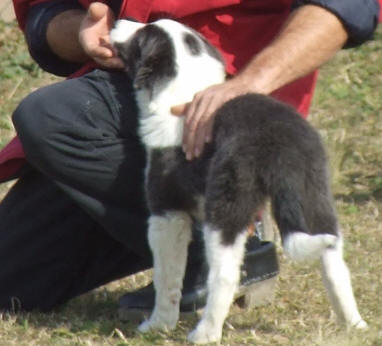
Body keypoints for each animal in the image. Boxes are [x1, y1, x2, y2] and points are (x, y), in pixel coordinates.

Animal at [109, 19, 364, 346]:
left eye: (141, 36)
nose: (116, 21)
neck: (186, 87)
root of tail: (279, 144)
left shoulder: (166, 213)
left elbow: (166, 276)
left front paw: (157, 325)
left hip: (227, 207)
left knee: (225, 276)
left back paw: (205, 333)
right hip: (313, 194)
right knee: (334, 261)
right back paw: (354, 324)